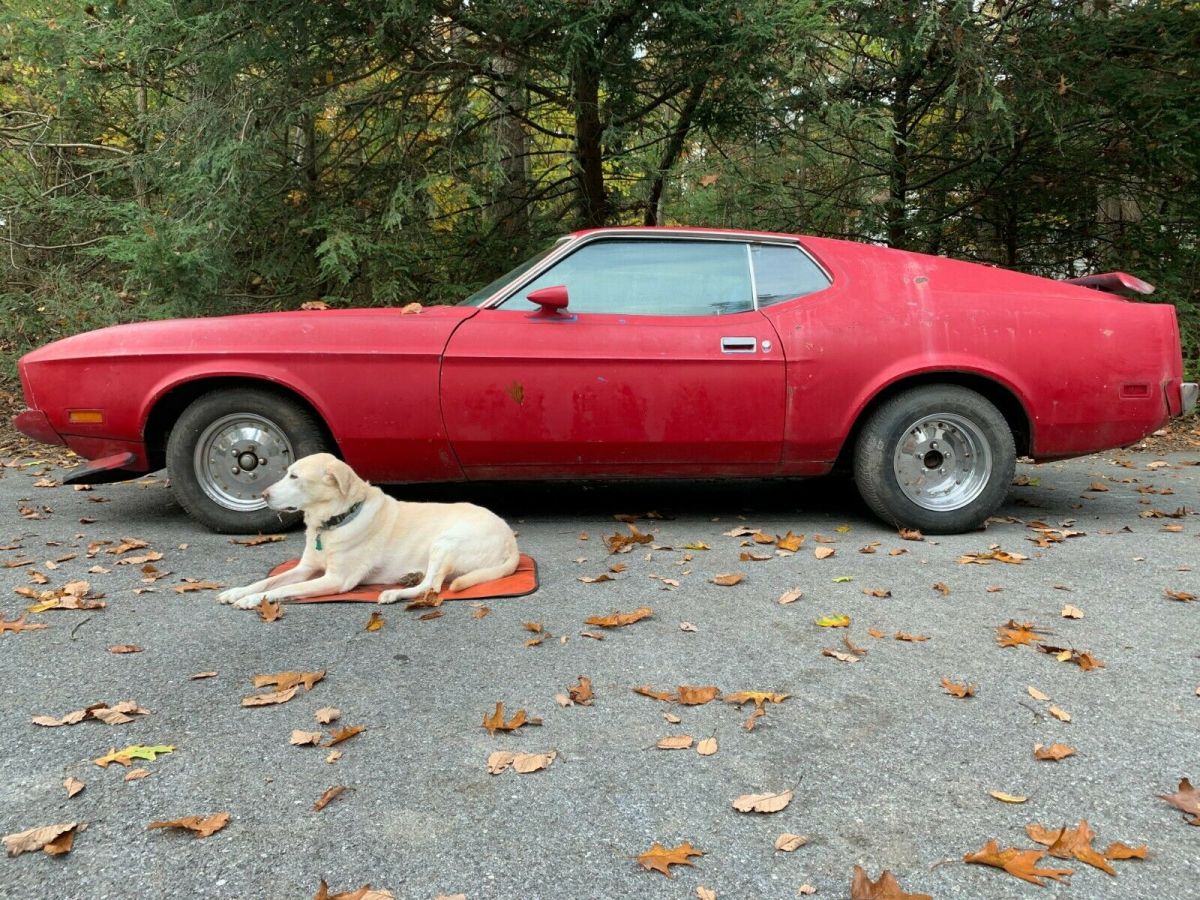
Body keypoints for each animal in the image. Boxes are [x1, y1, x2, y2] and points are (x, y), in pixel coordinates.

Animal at [218, 453, 518, 609]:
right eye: (286, 472)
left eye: (294, 477)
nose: (263, 494)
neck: (336, 520)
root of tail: (510, 539)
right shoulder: (305, 568)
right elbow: (268, 581)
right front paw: (238, 592)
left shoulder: (336, 580)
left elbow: (285, 589)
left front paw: (252, 600)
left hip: (446, 542)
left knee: (431, 587)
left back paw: (393, 593)